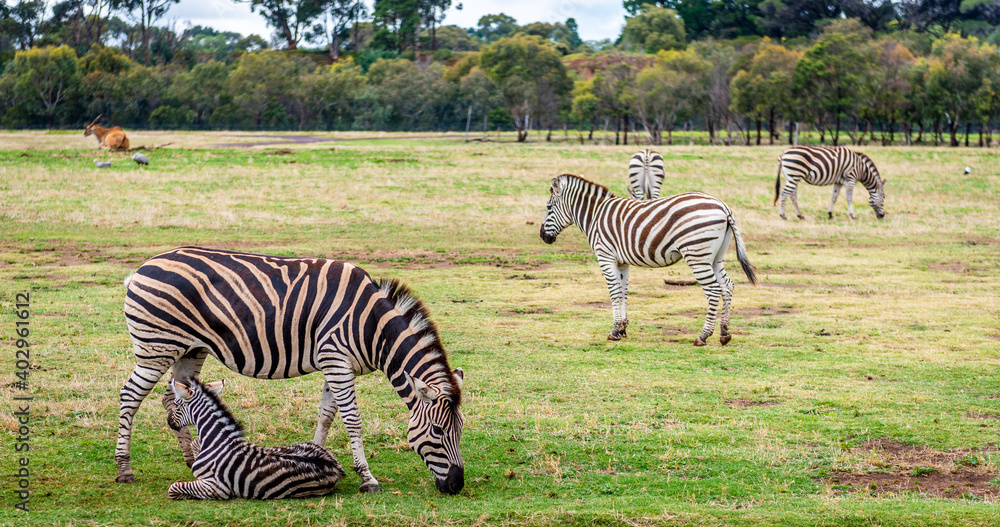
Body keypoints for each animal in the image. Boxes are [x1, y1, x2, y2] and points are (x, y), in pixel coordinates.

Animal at [167, 377, 345, 500]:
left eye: (177, 404)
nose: (169, 422)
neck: (216, 442)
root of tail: (334, 466)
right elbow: (195, 442)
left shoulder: (218, 488)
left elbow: (173, 488)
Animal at [539, 174, 757, 346]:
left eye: (549, 207)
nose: (543, 236)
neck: (595, 216)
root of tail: (723, 206)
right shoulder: (622, 262)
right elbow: (623, 292)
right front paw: (623, 329)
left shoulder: (606, 257)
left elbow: (614, 293)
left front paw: (614, 331)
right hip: (715, 257)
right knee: (728, 286)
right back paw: (724, 333)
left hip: (697, 255)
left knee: (713, 290)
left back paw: (703, 336)